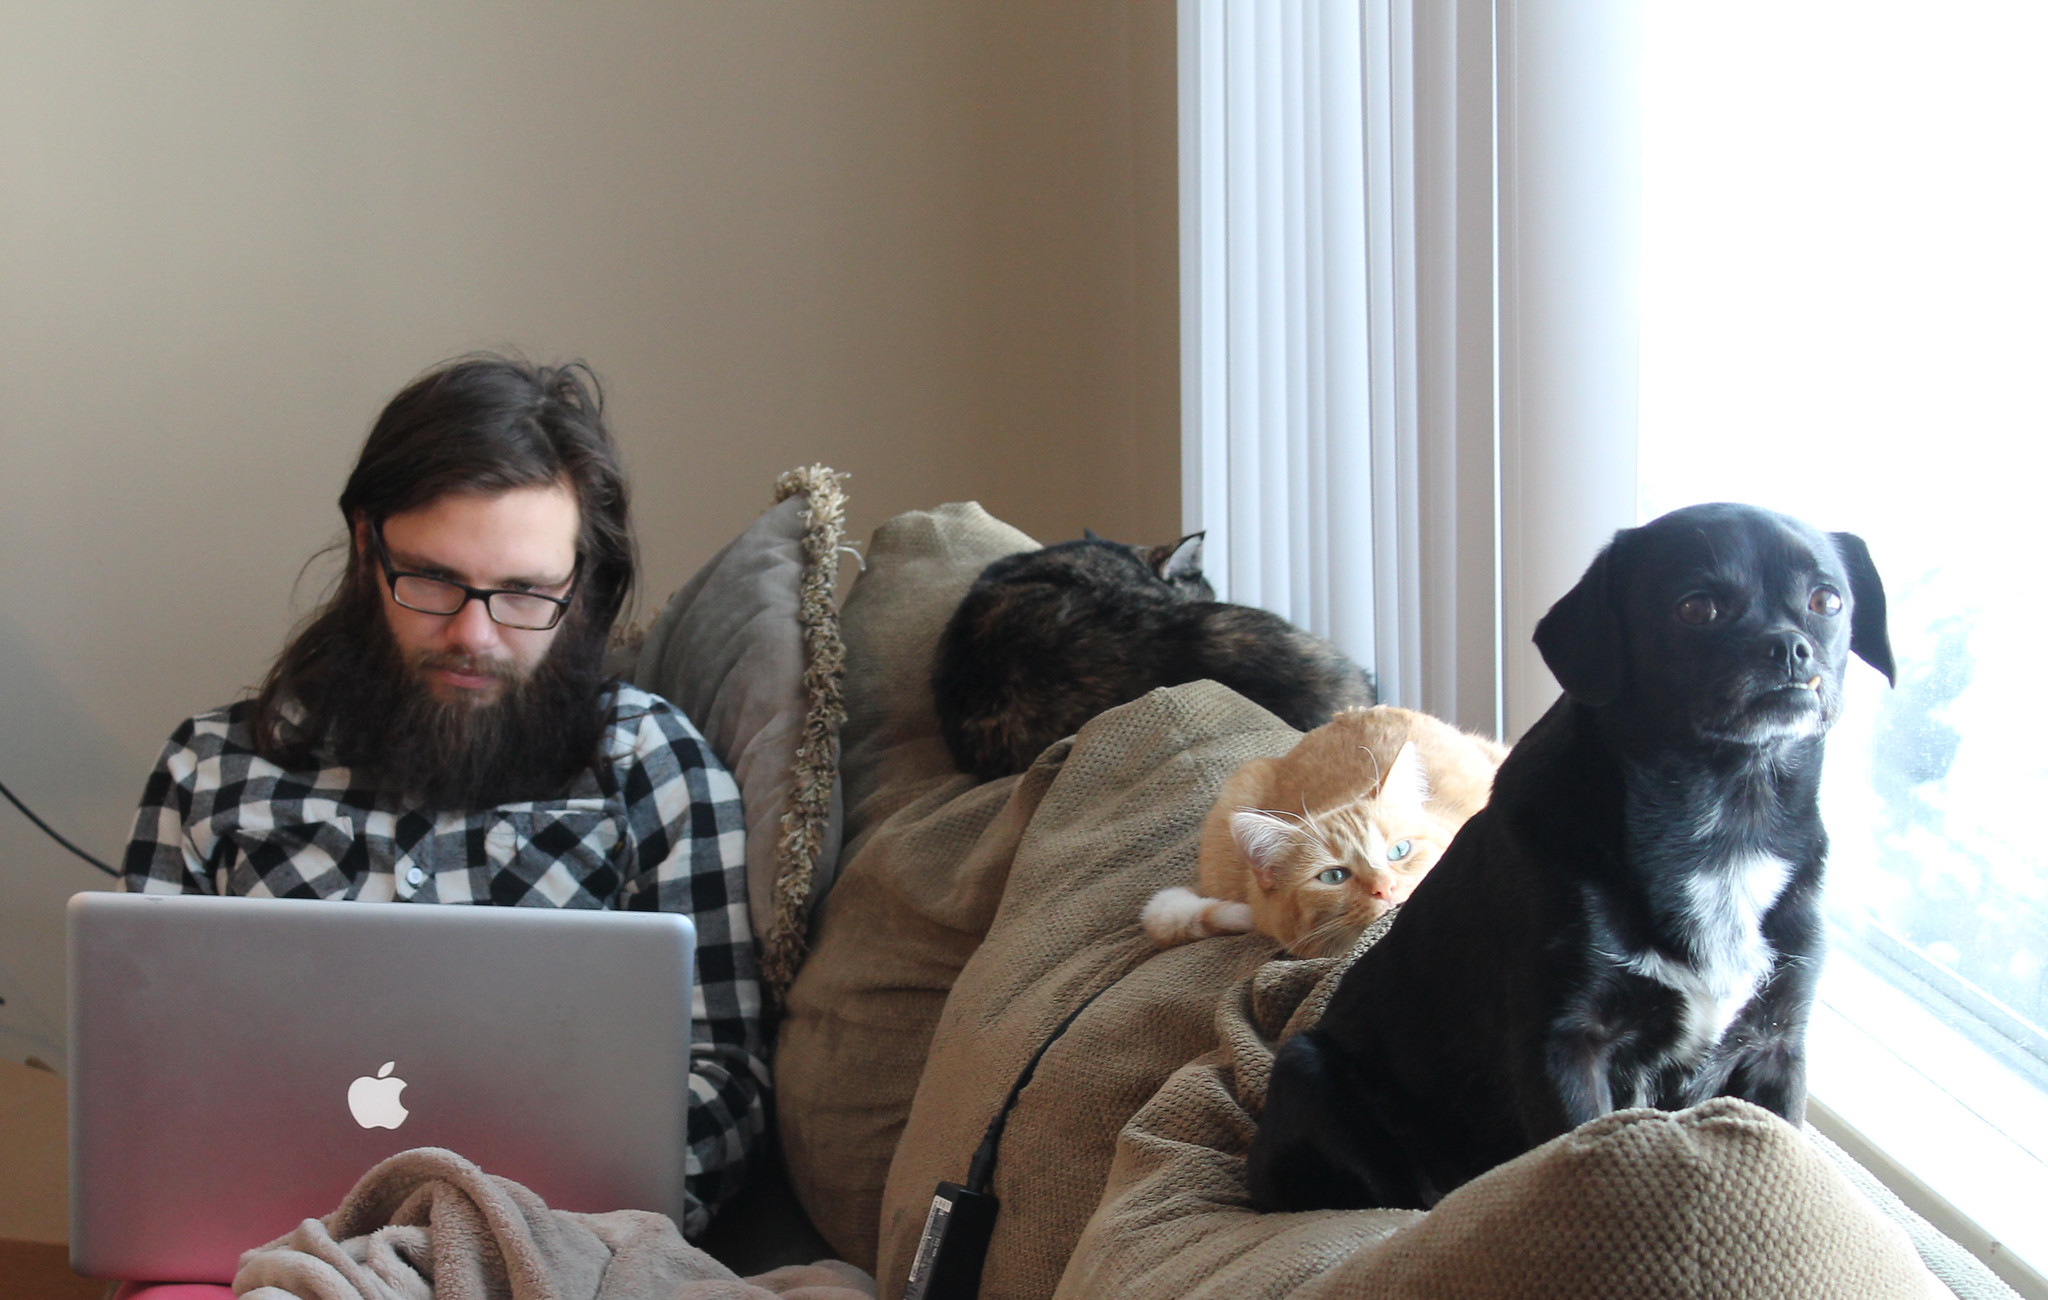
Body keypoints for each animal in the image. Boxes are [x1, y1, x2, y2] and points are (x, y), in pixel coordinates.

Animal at [1246, 503, 1894, 1212]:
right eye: (1696, 608)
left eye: (1827, 600)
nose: (1788, 647)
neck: (1727, 818)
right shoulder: (1565, 1046)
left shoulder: (1777, 1046)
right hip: (1309, 1070)